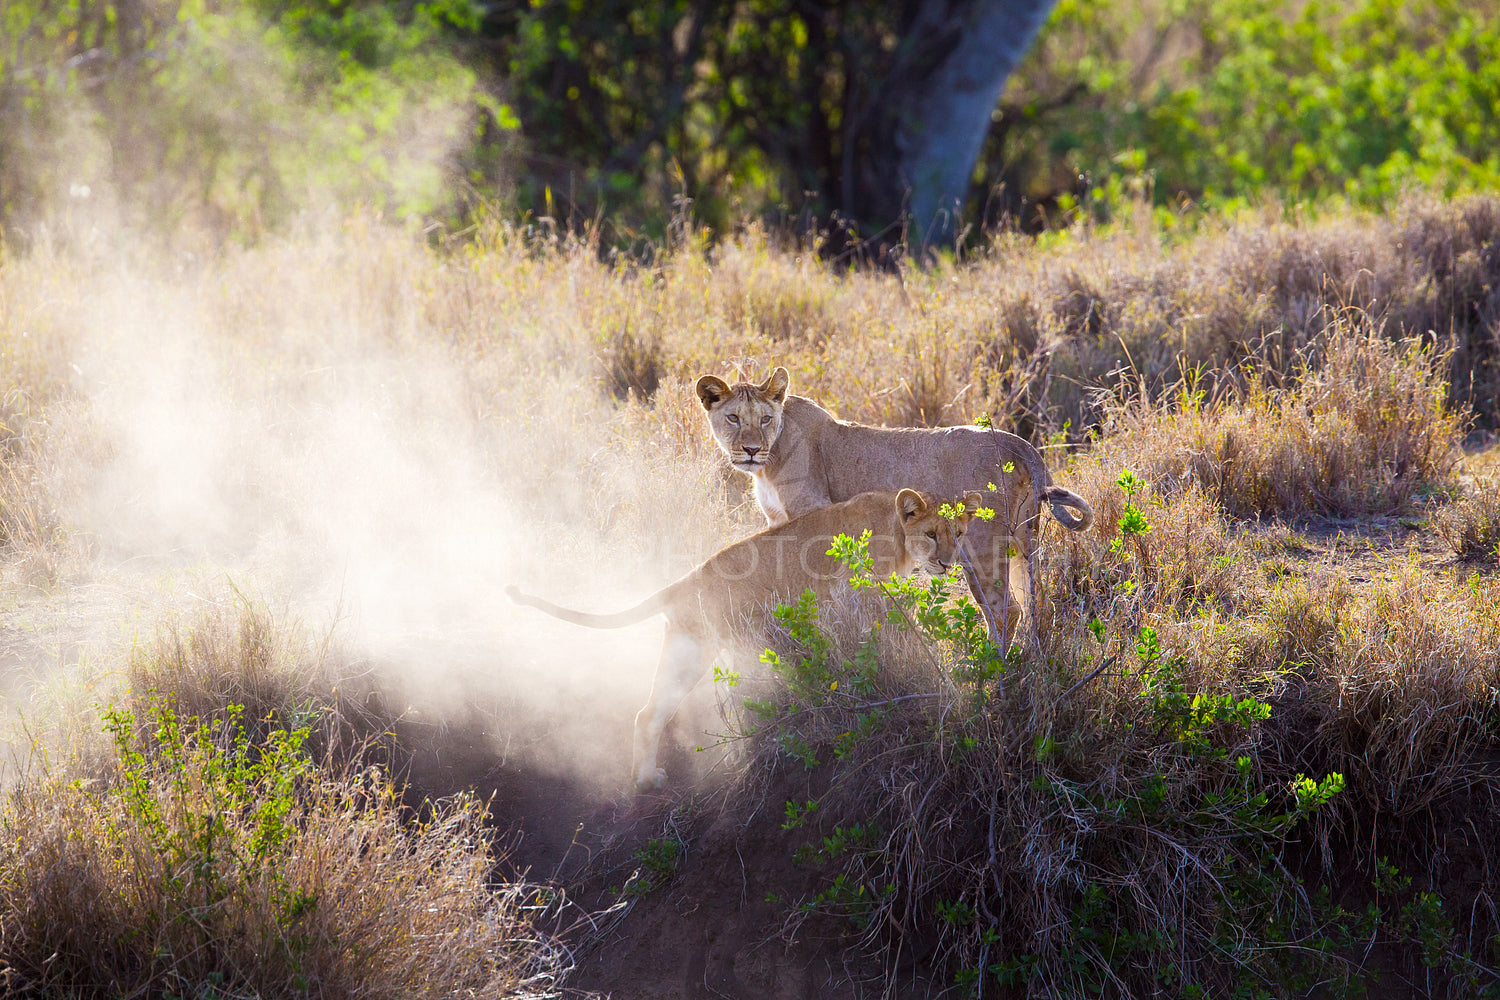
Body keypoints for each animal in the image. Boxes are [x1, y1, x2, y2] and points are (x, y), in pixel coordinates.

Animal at [510, 488, 978, 791]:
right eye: (932, 534)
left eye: (959, 533)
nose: (948, 562)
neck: (895, 535)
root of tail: (686, 579)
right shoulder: (859, 598)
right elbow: (893, 639)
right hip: (721, 649)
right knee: (699, 706)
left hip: (687, 650)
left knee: (648, 713)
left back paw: (646, 780)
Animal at [696, 367, 1098, 641]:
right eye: (733, 418)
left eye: (765, 419)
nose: (750, 450)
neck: (770, 460)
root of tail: (1021, 442)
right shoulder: (774, 518)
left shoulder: (811, 509)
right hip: (1023, 541)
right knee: (1034, 603)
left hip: (979, 547)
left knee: (1005, 611)